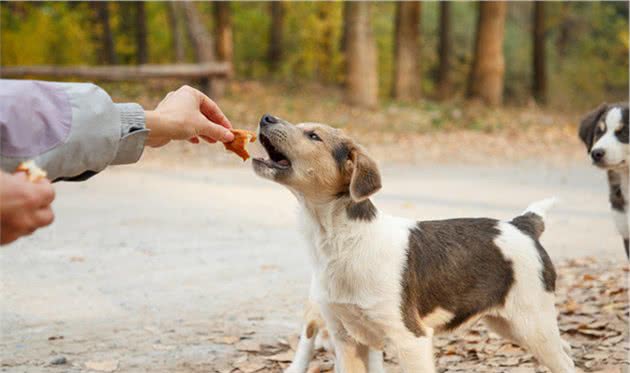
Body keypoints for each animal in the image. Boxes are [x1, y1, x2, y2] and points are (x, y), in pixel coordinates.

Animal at [253, 115, 576, 372]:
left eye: (313, 136)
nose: (266, 117)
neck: (342, 242)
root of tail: (522, 225)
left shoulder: (411, 339)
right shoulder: (346, 340)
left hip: (533, 323)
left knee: (566, 361)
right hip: (509, 325)